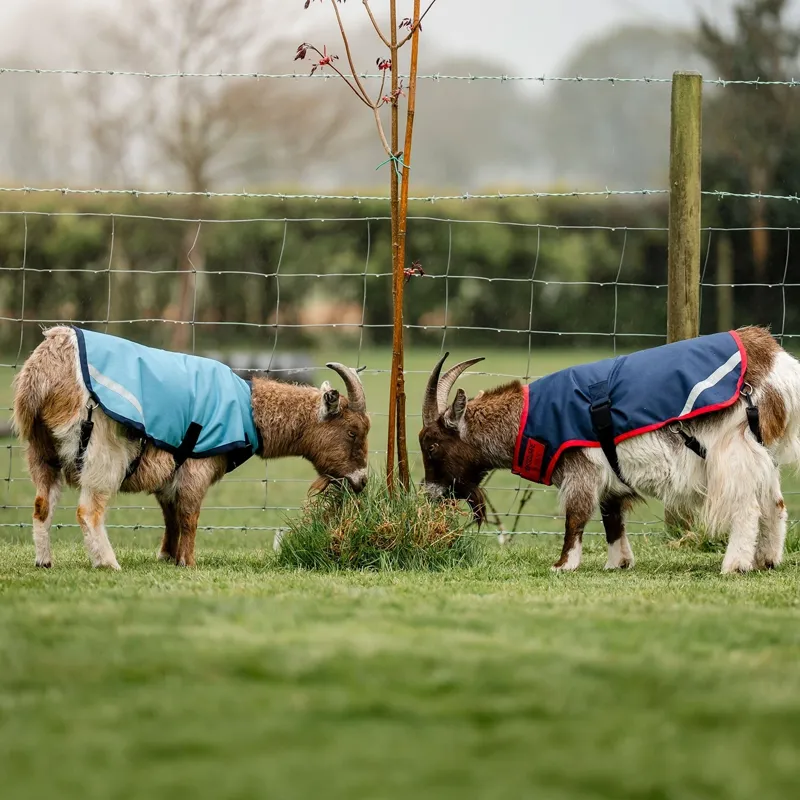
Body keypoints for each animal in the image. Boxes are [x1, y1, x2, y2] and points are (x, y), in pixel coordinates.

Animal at [12, 326, 370, 570]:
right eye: (353, 431)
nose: (362, 480)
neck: (246, 408)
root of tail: (46, 368)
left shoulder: (170, 471)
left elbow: (171, 515)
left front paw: (167, 556)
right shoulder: (196, 467)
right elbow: (189, 515)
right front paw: (189, 562)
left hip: (40, 449)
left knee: (41, 505)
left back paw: (44, 561)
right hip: (103, 449)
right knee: (88, 510)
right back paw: (108, 563)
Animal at [418, 326, 800, 574]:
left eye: (432, 444)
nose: (429, 493)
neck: (531, 416)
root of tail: (776, 361)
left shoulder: (580, 467)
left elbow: (576, 515)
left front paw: (563, 565)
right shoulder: (609, 474)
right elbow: (611, 516)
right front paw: (618, 562)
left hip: (732, 445)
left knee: (746, 505)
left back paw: (734, 565)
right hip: (759, 449)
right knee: (775, 504)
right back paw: (767, 560)